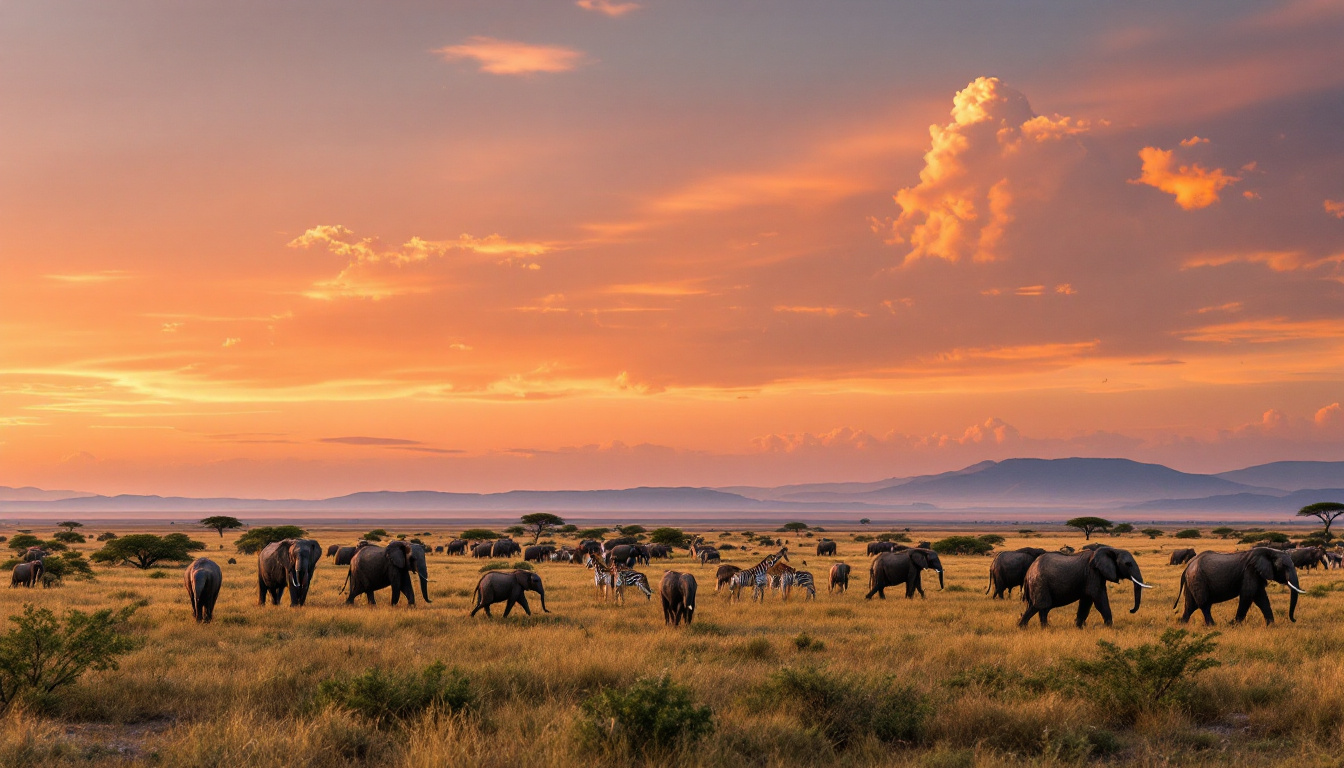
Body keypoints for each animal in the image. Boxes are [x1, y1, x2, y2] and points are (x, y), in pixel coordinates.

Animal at [1016, 543, 1155, 626]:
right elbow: (1098, 598)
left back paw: (1041, 628)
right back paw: (1024, 628)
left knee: (1040, 608)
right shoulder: (1093, 573)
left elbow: (1086, 602)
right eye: (1128, 564)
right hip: (1039, 582)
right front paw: (1108, 627)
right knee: (1039, 606)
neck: (1112, 549)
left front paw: (1079, 627)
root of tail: (1029, 571)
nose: (1131, 610)